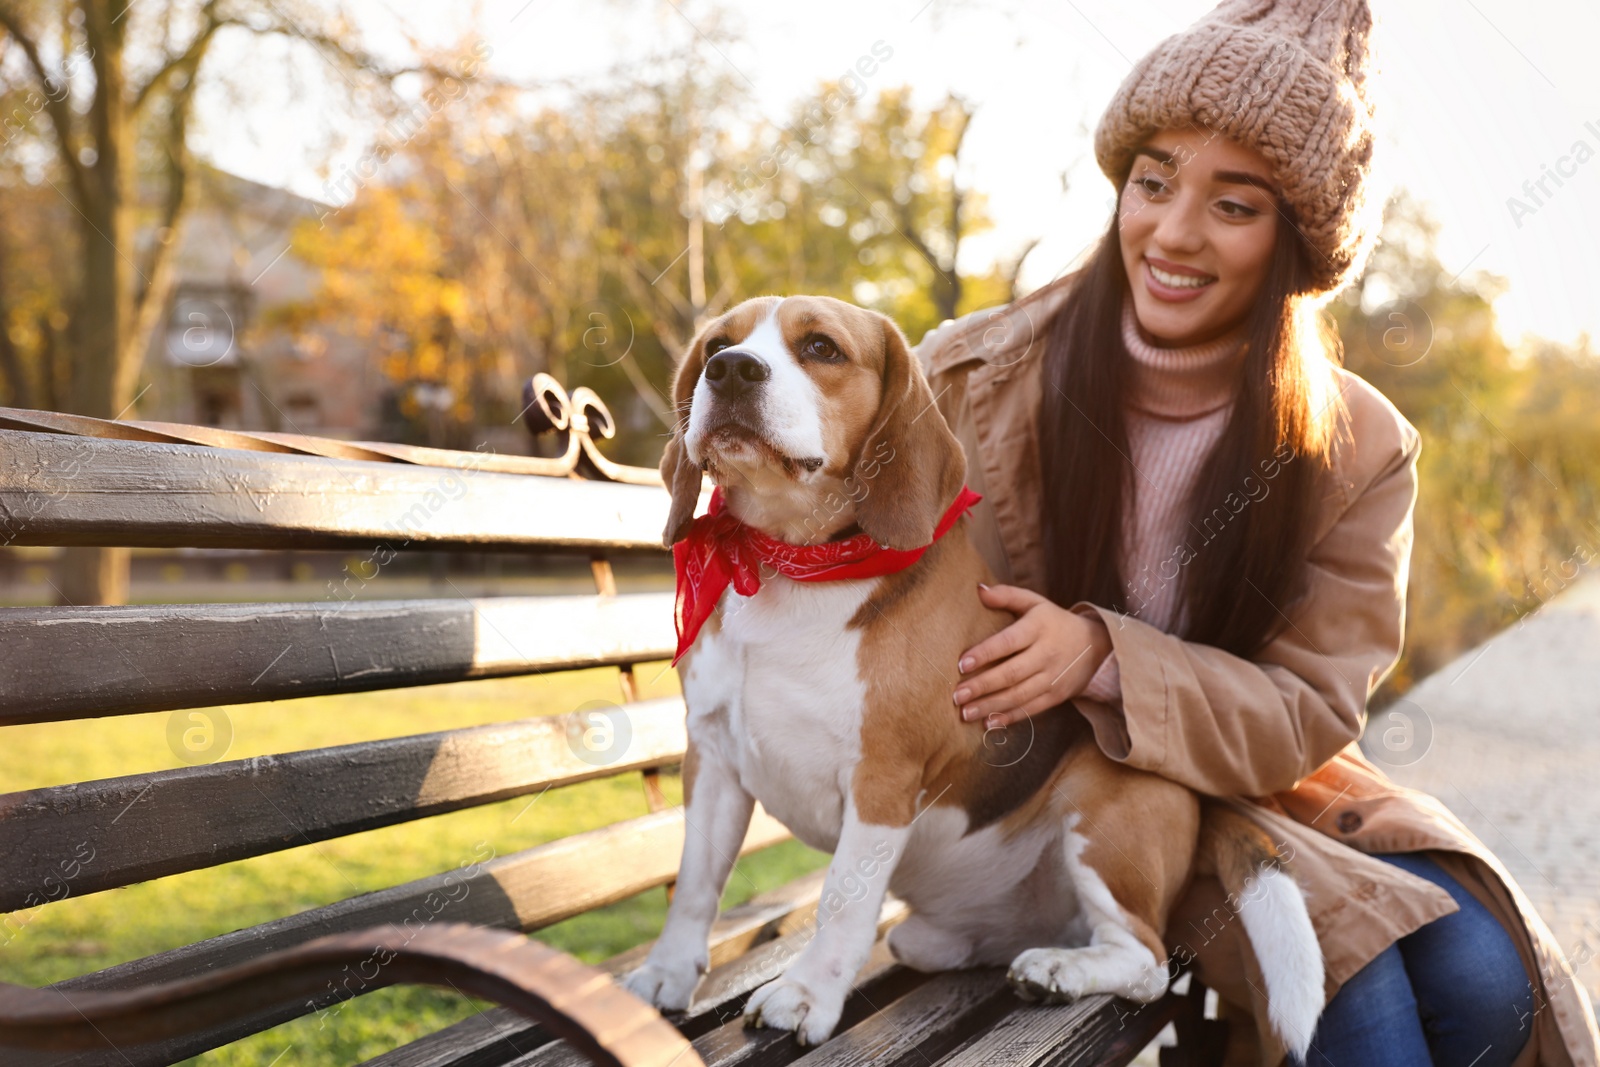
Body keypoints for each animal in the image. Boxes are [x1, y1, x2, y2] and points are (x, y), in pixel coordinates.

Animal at [624, 295, 1324, 1055]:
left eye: (821, 348)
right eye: (715, 344)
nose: (730, 370)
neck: (787, 562)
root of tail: (1199, 800)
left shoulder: (883, 777)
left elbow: (839, 898)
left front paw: (806, 996)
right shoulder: (713, 756)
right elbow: (695, 884)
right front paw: (666, 977)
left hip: (1103, 818)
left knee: (1145, 962)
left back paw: (1058, 971)